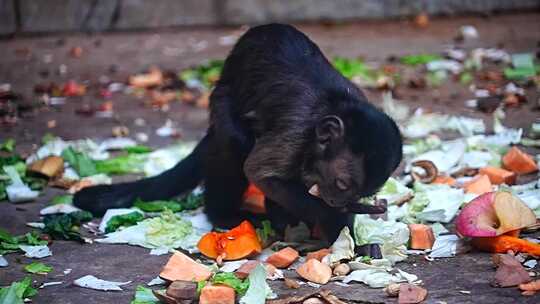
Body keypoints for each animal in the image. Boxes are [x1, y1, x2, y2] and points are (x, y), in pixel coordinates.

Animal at [74, 23, 400, 242]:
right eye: (342, 184)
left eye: (359, 191)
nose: (336, 201)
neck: (334, 106)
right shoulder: (295, 132)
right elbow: (259, 173)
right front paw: (332, 216)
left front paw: (346, 233)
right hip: (221, 103)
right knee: (235, 140)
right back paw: (226, 214)